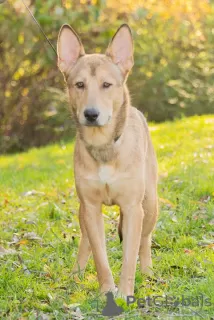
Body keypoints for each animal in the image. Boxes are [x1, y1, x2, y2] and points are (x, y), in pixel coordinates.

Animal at [57, 23, 158, 296]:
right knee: (85, 241)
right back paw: (76, 273)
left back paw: (148, 272)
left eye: (106, 84)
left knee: (145, 241)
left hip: (150, 203)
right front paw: (106, 291)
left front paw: (125, 292)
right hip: (82, 211)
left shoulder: (133, 208)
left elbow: (129, 256)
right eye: (79, 84)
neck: (104, 147)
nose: (91, 114)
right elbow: (100, 256)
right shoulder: (91, 207)